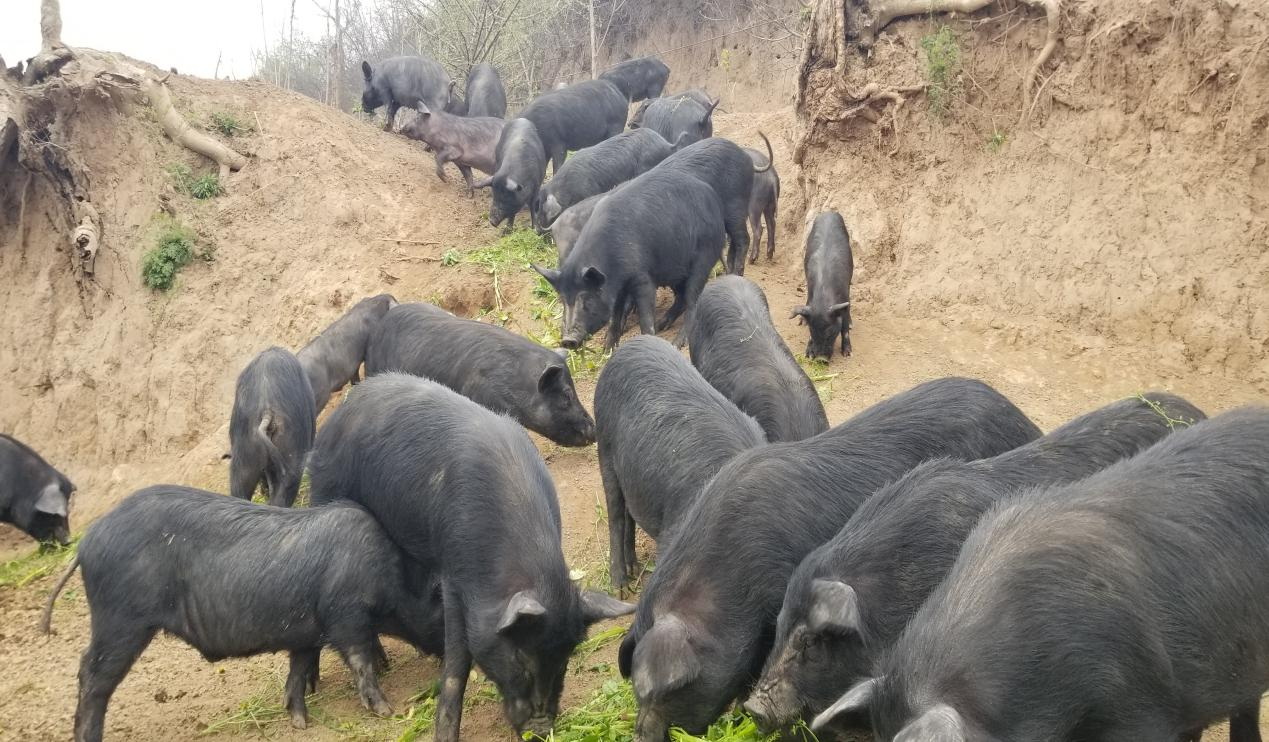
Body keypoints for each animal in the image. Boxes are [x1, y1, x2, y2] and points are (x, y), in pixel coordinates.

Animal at [302, 375, 629, 740]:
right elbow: (458, 662)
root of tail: (338, 414)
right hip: (325, 491)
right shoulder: (455, 576)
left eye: (564, 659)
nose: (541, 729)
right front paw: (444, 732)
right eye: (520, 658)